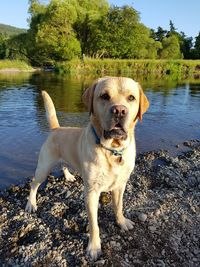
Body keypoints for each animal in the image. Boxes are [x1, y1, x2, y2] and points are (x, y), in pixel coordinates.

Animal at [25, 76, 149, 260]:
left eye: (131, 98)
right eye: (104, 96)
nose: (119, 111)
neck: (112, 150)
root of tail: (56, 129)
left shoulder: (120, 186)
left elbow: (118, 206)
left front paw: (122, 222)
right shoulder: (91, 192)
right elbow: (94, 224)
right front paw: (94, 247)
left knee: (64, 164)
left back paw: (68, 176)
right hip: (43, 168)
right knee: (34, 183)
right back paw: (31, 204)